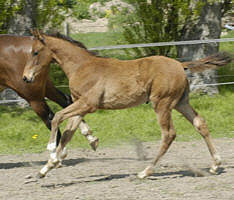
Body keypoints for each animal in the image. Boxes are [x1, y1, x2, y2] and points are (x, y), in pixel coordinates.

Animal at [22, 31, 230, 178]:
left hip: (162, 103)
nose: (25, 77)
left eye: (35, 52)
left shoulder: (88, 104)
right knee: (200, 123)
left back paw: (145, 171)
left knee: (169, 134)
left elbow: (57, 117)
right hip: (180, 102)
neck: (81, 66)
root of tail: (180, 65)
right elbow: (67, 134)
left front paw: (51, 152)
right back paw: (215, 165)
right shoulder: (80, 106)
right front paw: (45, 169)